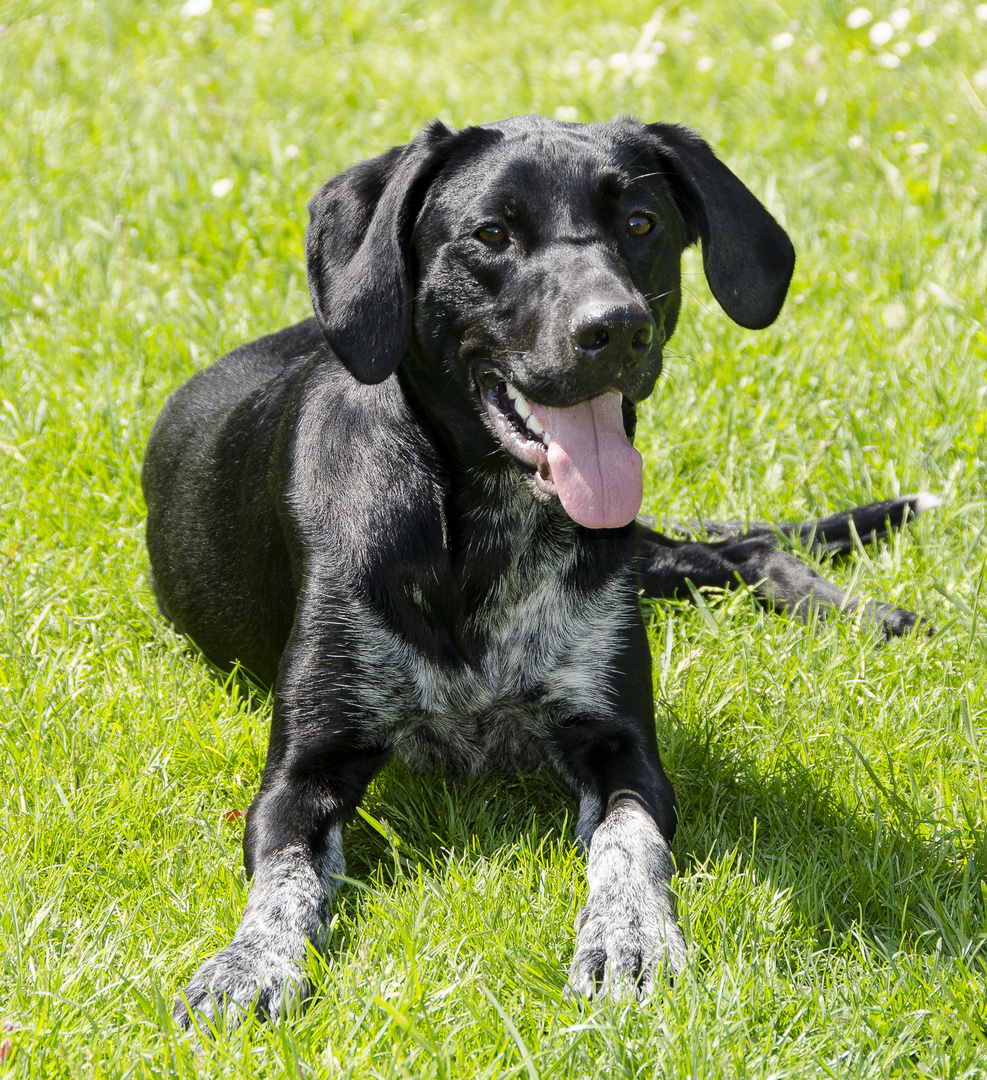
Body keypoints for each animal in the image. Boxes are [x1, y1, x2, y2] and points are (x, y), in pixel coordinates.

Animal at [140, 113, 933, 1032]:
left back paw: (861, 613)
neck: (487, 533)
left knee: (740, 550)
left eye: (640, 223)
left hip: (638, 552)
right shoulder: (304, 766)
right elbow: (283, 879)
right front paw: (247, 964)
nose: (614, 327)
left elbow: (630, 846)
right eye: (491, 234)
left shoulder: (621, 744)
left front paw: (630, 938)